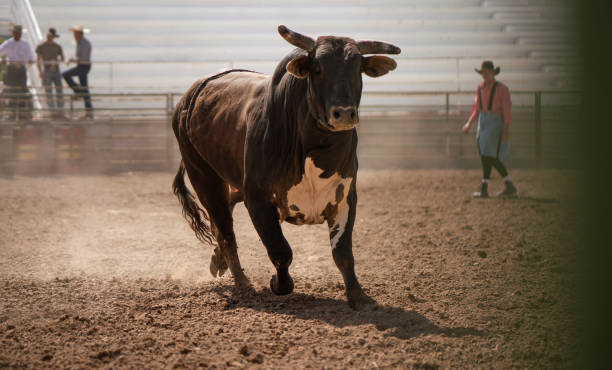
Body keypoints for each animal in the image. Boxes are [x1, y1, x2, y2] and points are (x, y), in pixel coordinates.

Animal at [172, 26, 402, 310]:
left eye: (357, 68)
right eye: (317, 69)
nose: (344, 113)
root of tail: (192, 95)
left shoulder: (345, 197)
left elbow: (343, 253)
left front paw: (358, 296)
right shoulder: (258, 199)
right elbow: (280, 250)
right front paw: (279, 284)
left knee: (223, 220)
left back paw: (220, 262)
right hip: (204, 176)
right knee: (225, 230)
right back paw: (243, 284)